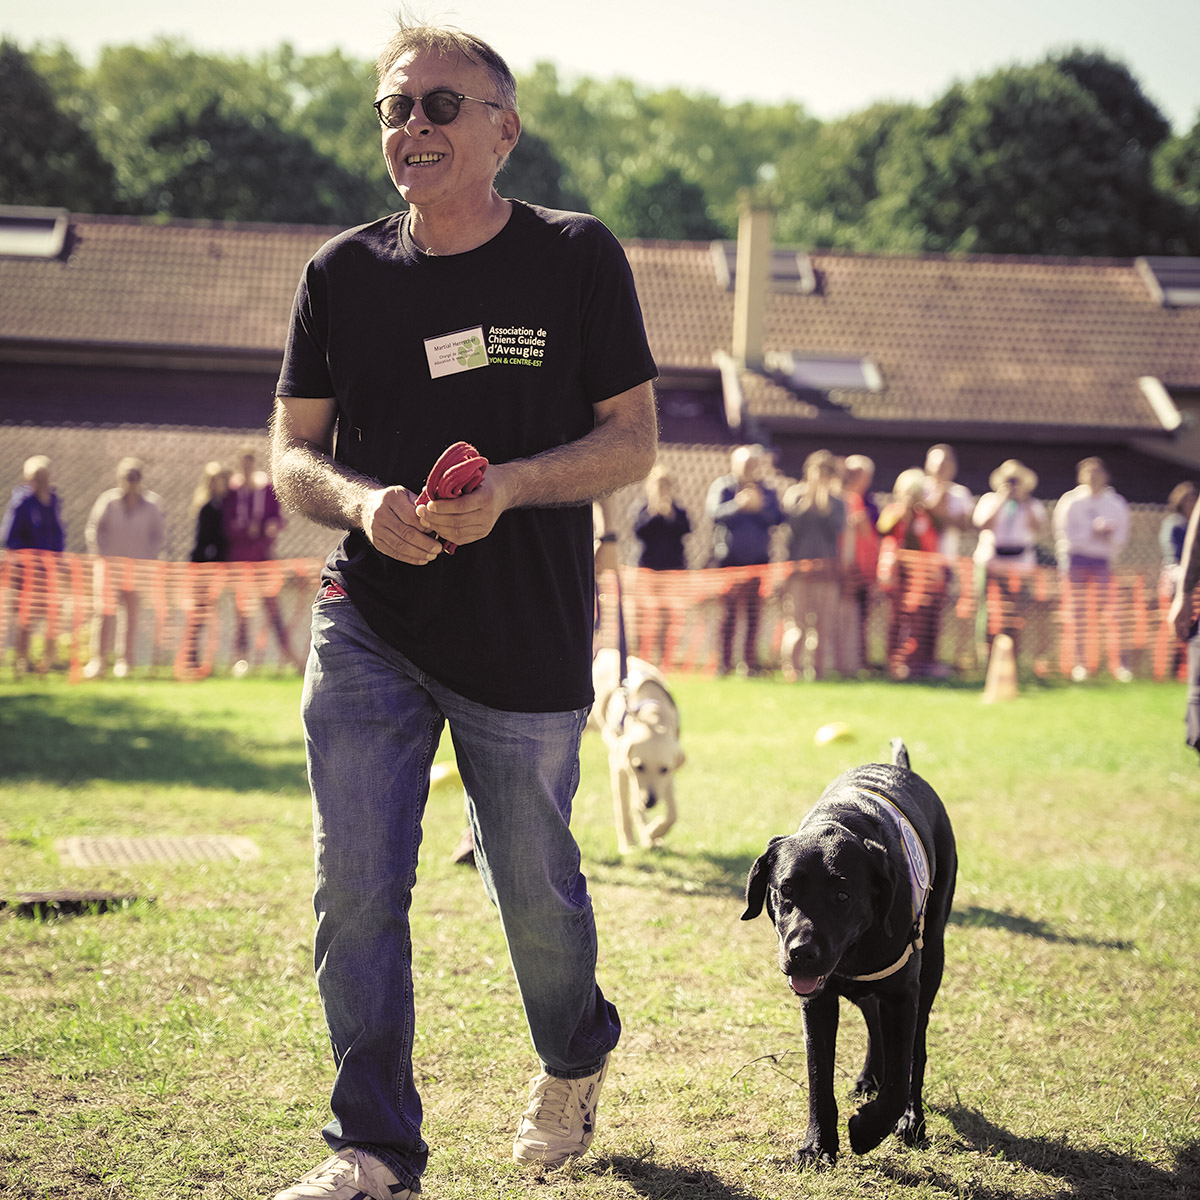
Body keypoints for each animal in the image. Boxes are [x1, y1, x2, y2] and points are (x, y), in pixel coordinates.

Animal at [739, 734, 955, 1166]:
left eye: (842, 895)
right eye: (785, 890)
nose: (801, 953)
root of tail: (901, 767)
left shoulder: (903, 992)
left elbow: (901, 1071)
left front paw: (869, 1129)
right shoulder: (818, 1001)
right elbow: (818, 1075)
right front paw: (818, 1145)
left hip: (932, 958)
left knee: (917, 1049)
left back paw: (912, 1118)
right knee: (873, 1016)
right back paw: (869, 1077)